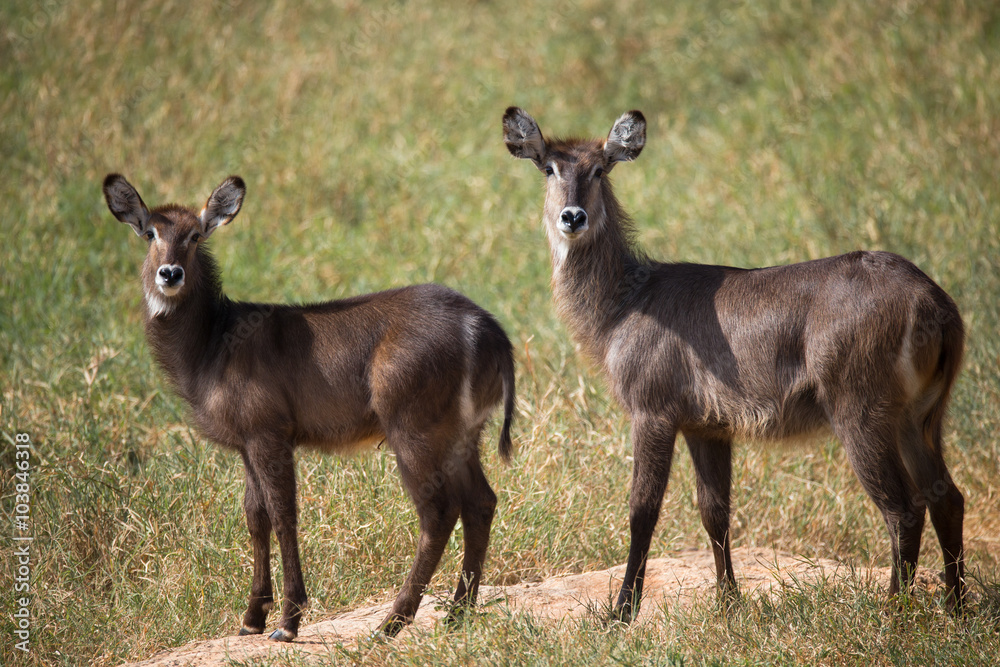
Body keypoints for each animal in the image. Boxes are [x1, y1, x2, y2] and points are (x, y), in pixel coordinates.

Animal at [103, 174, 515, 641]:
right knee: (481, 502)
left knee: (439, 512)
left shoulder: (269, 433)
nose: (170, 273)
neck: (212, 342)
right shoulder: (246, 444)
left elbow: (284, 515)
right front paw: (251, 618)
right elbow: (255, 517)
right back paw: (457, 614)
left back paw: (391, 622)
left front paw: (288, 621)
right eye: (150, 233)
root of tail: (486, 328)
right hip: (463, 433)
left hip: (413, 430)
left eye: (194, 235)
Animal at [502, 107, 966, 621]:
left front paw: (621, 611)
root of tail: (933, 301)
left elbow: (643, 511)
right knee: (947, 497)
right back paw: (956, 607)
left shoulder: (652, 411)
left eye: (600, 169)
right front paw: (728, 603)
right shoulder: (707, 425)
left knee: (903, 509)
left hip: (860, 413)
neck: (626, 302)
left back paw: (893, 611)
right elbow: (715, 512)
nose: (572, 216)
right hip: (920, 416)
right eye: (549, 168)